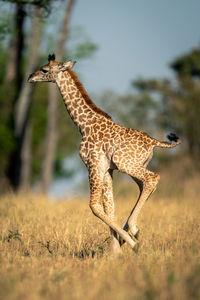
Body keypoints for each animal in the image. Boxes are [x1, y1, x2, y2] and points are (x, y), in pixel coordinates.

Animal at [28, 54, 181, 253]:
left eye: (44, 69)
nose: (30, 77)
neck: (83, 125)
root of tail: (153, 142)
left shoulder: (93, 165)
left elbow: (94, 205)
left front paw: (128, 244)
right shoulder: (107, 170)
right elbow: (110, 207)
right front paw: (116, 251)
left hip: (125, 163)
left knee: (153, 178)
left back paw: (133, 230)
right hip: (134, 165)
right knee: (145, 185)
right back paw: (130, 231)